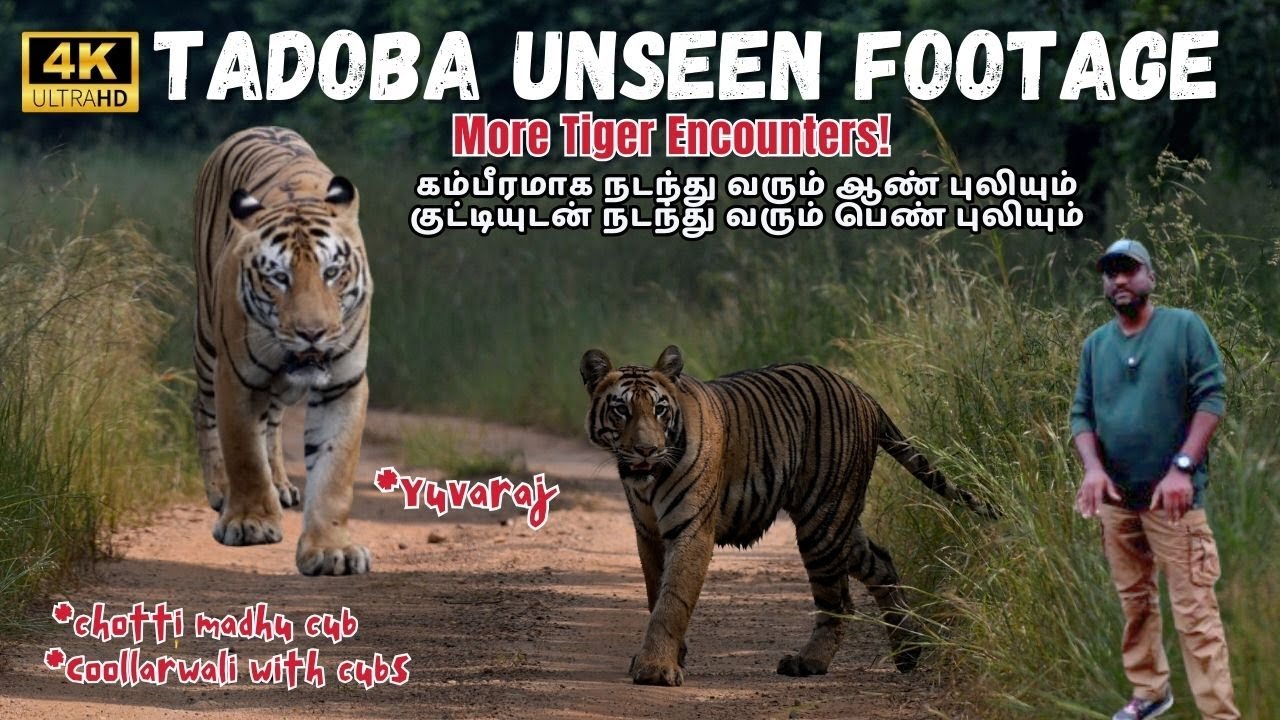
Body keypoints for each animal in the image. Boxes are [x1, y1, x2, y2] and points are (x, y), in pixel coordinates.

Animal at [192, 126, 373, 576]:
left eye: (331, 272)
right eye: (279, 277)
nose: (313, 333)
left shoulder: (344, 384)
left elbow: (334, 470)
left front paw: (331, 550)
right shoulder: (236, 376)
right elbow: (243, 451)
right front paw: (250, 522)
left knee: (272, 423)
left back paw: (281, 485)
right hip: (206, 341)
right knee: (203, 411)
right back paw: (220, 490)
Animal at [581, 345, 993, 686]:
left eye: (659, 409)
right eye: (621, 410)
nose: (646, 450)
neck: (648, 482)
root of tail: (862, 393)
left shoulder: (690, 529)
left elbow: (673, 601)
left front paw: (656, 669)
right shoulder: (647, 532)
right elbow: (656, 594)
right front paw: (668, 658)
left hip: (823, 521)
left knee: (837, 602)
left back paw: (809, 662)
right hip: (840, 523)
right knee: (882, 564)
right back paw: (908, 653)